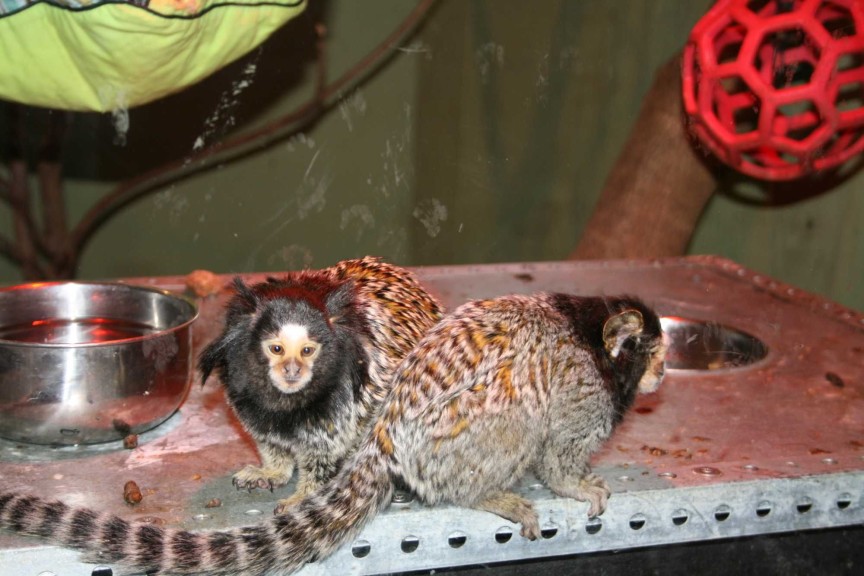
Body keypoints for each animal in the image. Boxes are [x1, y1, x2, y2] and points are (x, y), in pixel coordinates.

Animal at [0, 292, 666, 576]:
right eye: (654, 356)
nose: (662, 373)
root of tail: (387, 439)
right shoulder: (580, 392)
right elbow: (558, 451)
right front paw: (575, 486)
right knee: (516, 415)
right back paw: (488, 493)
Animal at [196, 256, 443, 512]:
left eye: (307, 351)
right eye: (277, 349)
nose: (292, 369)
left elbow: (333, 450)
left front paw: (305, 495)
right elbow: (269, 440)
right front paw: (273, 470)